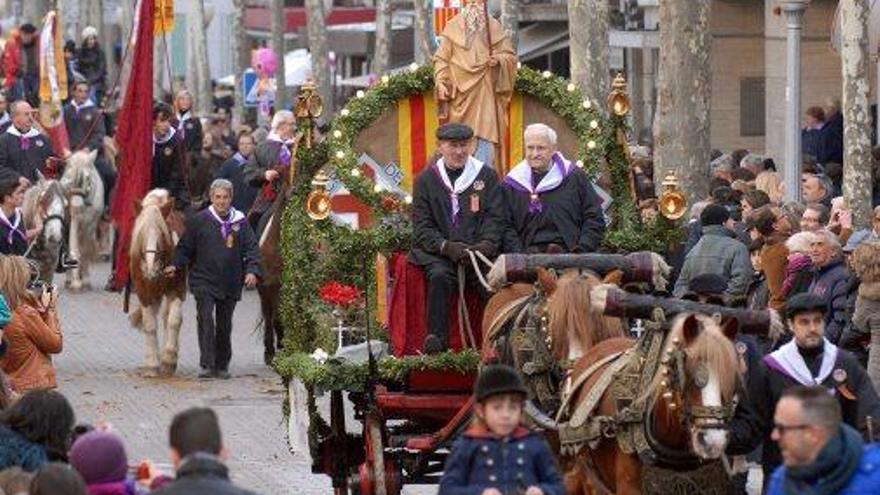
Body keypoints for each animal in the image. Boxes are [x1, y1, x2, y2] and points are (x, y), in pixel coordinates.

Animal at [59, 149, 104, 292]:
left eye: (87, 178)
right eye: (68, 179)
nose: (77, 206)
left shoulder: (91, 224)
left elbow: (86, 250)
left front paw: (85, 280)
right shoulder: (74, 222)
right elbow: (74, 249)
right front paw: (75, 283)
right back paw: (69, 279)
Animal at [127, 189, 187, 376]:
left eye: (161, 233)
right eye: (141, 234)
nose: (150, 269)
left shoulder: (177, 289)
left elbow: (174, 320)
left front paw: (168, 360)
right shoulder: (144, 292)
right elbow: (150, 325)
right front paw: (152, 365)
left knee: (167, 316)